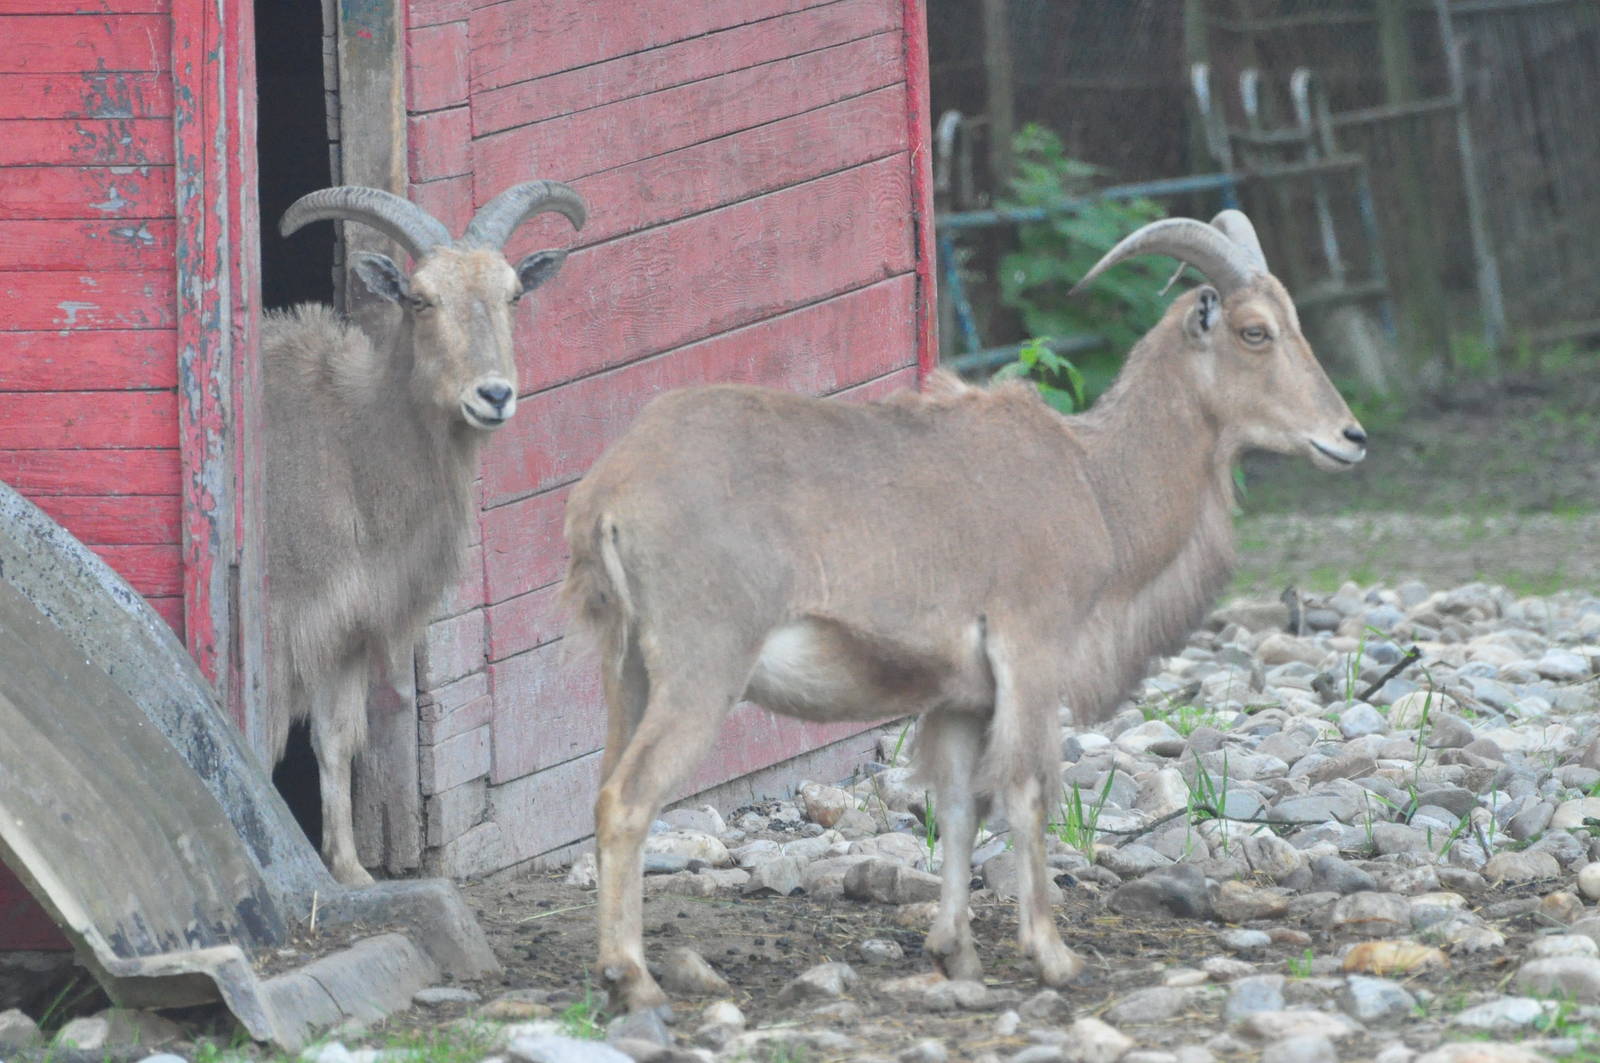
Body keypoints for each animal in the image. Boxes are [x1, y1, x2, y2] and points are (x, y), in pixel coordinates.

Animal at [264, 181, 585, 884]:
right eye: (419, 298)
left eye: (513, 294)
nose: (494, 395)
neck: (348, 443)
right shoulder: (277, 625)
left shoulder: (347, 626)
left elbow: (334, 740)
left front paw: (349, 871)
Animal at [561, 210, 1367, 1011]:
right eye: (1255, 331)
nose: (1351, 437)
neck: (1095, 482)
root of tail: (611, 491)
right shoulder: (1031, 654)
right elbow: (1026, 793)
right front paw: (1053, 954)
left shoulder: (958, 697)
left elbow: (956, 808)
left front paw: (957, 955)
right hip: (704, 668)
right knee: (628, 800)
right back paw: (632, 977)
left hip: (627, 671)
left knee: (601, 791)